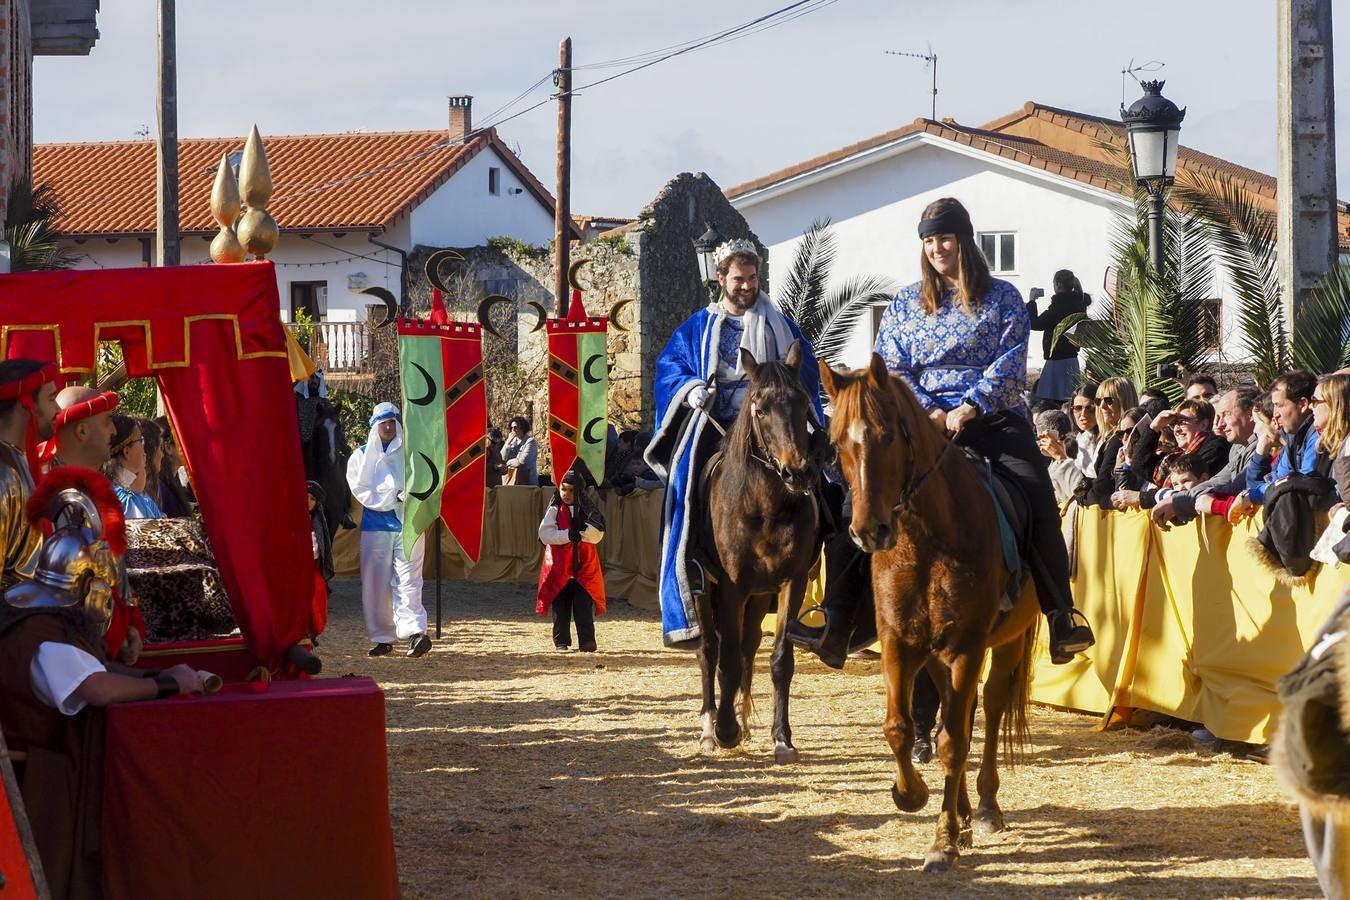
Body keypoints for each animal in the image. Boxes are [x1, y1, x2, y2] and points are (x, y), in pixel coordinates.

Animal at [696, 341, 820, 766]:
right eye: (761, 408)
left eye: (803, 403)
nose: (797, 472)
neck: (765, 508)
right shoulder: (731, 587)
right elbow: (727, 660)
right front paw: (725, 730)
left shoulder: (789, 584)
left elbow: (779, 659)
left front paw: (781, 736)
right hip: (705, 590)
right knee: (710, 651)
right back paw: (709, 728)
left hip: (758, 596)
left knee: (749, 645)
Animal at [815, 356, 1036, 874]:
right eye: (837, 443)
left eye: (888, 437)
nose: (869, 531)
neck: (929, 542)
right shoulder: (899, 642)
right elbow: (901, 729)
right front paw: (911, 794)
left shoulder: (968, 646)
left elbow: (953, 744)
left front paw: (944, 842)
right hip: (937, 654)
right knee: (960, 715)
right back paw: (964, 811)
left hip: (1007, 641)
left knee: (990, 707)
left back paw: (986, 810)